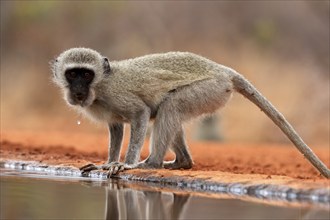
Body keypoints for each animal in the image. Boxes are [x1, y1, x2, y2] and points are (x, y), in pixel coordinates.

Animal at [51, 47, 330, 178]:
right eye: (72, 74)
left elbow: (141, 114)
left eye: (86, 74)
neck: (100, 87)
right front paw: (108, 162)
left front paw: (124, 164)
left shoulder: (118, 96)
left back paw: (151, 164)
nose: (78, 90)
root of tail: (223, 70)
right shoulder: (109, 114)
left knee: (170, 106)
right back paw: (181, 162)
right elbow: (116, 129)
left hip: (211, 89)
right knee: (168, 110)